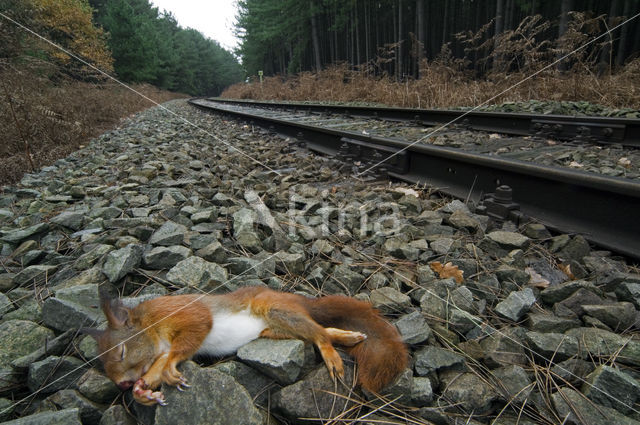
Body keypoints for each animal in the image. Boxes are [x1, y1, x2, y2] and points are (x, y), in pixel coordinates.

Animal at [82, 284, 408, 404]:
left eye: (121, 351)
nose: (122, 384)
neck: (151, 327)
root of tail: (300, 301)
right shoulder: (158, 353)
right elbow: (157, 368)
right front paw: (143, 392)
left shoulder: (186, 315)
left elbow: (187, 339)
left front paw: (170, 372)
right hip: (275, 330)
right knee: (320, 330)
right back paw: (348, 336)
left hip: (277, 311)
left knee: (318, 335)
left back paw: (333, 355)